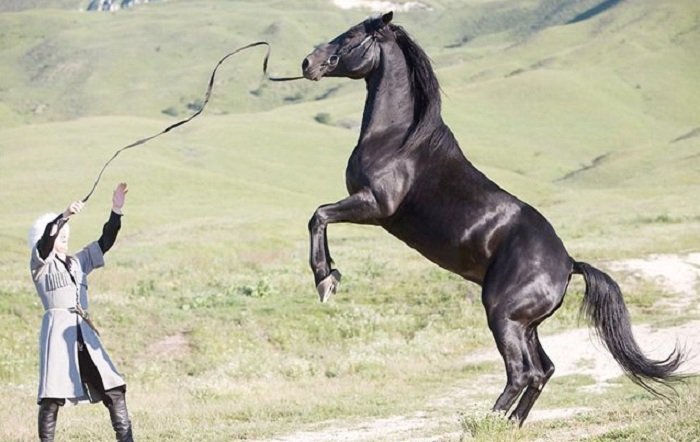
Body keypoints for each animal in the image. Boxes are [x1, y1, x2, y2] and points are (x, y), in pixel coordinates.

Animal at [300, 12, 685, 424]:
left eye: (351, 36)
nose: (308, 63)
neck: (399, 140)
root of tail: (569, 264)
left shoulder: (374, 206)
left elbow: (319, 216)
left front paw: (325, 279)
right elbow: (320, 217)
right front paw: (332, 274)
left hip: (503, 316)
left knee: (522, 372)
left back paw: (484, 422)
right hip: (526, 325)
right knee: (543, 370)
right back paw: (512, 424)